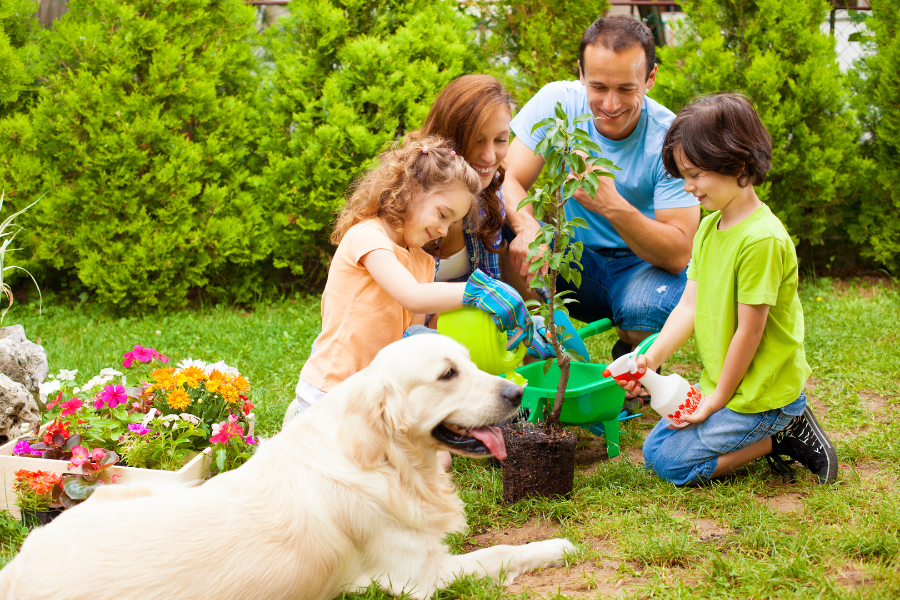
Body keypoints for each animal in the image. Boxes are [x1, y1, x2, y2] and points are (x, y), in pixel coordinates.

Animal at [0, 338, 572, 600]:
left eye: (470, 362)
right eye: (448, 374)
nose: (516, 393)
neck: (383, 458)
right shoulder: (414, 579)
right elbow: (500, 551)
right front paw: (558, 546)